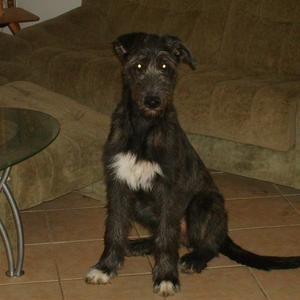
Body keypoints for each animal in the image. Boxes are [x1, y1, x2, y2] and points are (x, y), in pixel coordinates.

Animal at [85, 32, 300, 296]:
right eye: (138, 66)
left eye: (165, 67)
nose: (153, 101)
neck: (145, 128)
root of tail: (223, 230)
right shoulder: (118, 184)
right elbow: (114, 229)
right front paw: (105, 267)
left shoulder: (169, 190)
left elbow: (166, 237)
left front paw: (166, 277)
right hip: (141, 205)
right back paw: (140, 244)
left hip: (203, 204)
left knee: (206, 244)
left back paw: (195, 258)